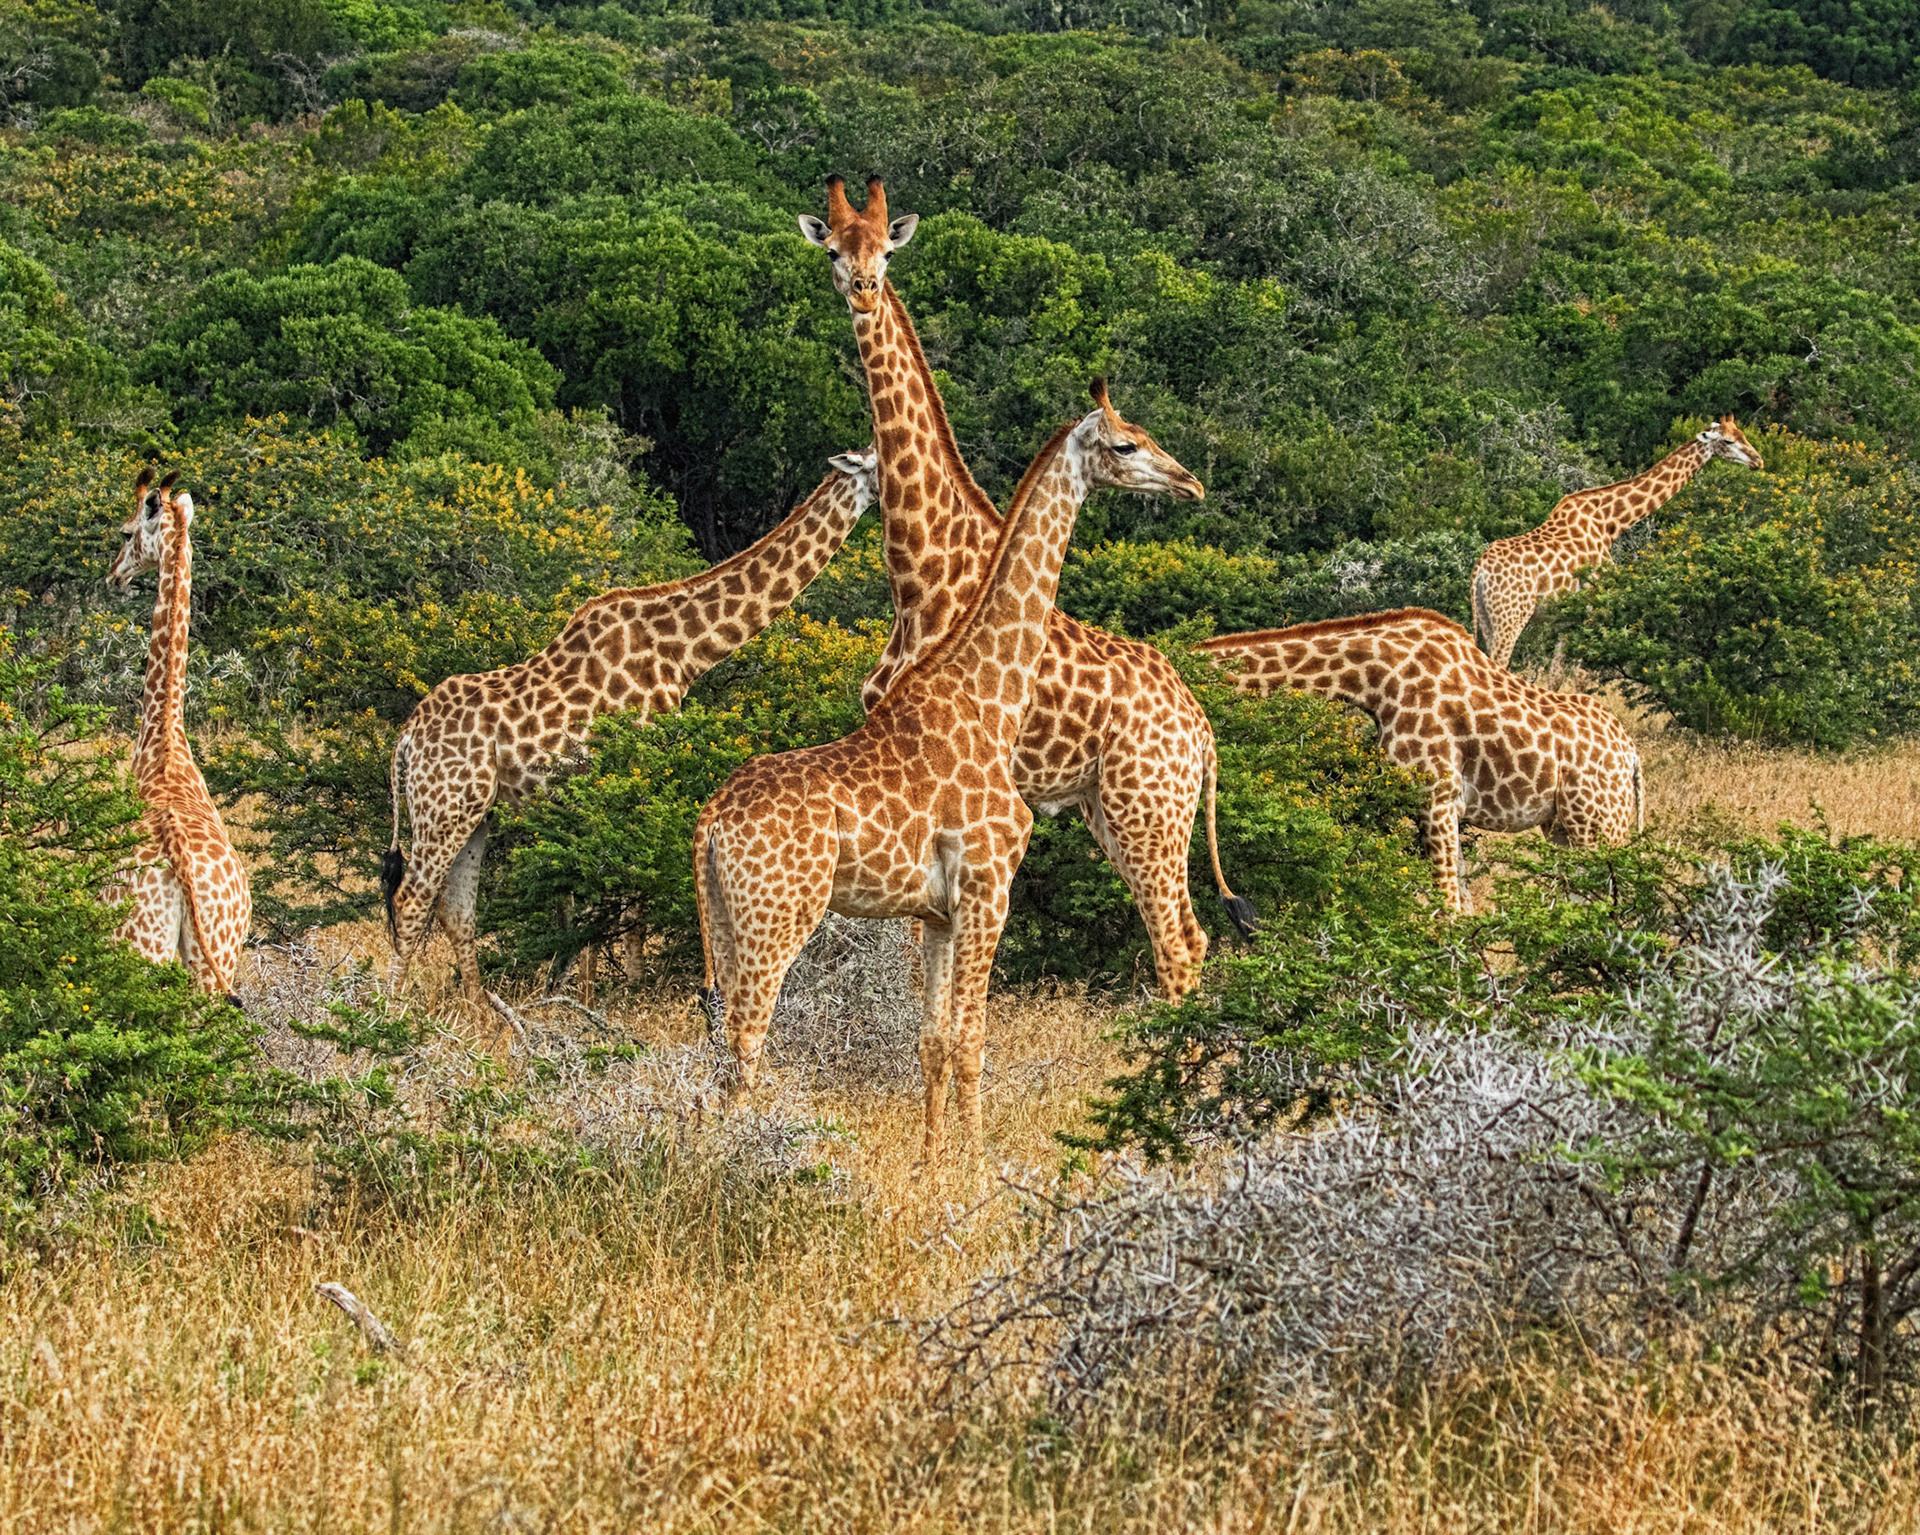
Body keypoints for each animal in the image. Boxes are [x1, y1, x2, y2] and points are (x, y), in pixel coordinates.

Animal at [383, 450, 879, 1001]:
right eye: (878, 461)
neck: (683, 652)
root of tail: (405, 738)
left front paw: (588, 988)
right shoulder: (641, 768)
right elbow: (633, 893)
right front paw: (633, 987)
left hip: (475, 810)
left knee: (455, 907)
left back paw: (478, 1009)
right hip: (443, 805)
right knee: (410, 900)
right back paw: (390, 1007)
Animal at [696, 383, 1205, 1163]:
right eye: (1126, 444)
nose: (1189, 483)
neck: (990, 696)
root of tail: (710, 820)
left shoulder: (936, 911)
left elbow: (932, 1040)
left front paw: (931, 1162)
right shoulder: (987, 887)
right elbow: (972, 1038)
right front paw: (976, 1162)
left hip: (725, 914)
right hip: (779, 913)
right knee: (746, 1033)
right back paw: (744, 1156)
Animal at [798, 176, 1254, 998]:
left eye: (886, 250)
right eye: (833, 250)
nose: (864, 289)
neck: (919, 573)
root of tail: (1203, 731)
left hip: (1148, 807)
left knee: (1176, 938)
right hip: (1113, 809)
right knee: (1192, 933)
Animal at [1197, 608, 1642, 911]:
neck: (1374, 680)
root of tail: (1632, 756)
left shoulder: (1437, 796)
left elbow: (1448, 910)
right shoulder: (1440, 805)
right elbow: (1461, 905)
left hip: (1599, 827)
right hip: (1562, 828)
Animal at [1472, 417, 1764, 669]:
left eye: (1743, 435)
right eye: (1727, 441)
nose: (1758, 461)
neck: (1610, 522)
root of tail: (1479, 573)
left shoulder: (1567, 618)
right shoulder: (1594, 608)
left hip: (1487, 618)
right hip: (1511, 617)